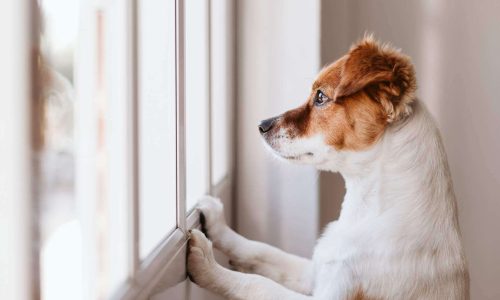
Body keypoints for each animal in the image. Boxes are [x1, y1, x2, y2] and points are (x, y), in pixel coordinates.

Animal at [187, 37, 468, 300]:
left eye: (321, 97)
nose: (261, 125)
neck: (368, 212)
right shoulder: (315, 272)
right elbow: (262, 250)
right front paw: (218, 224)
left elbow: (257, 284)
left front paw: (207, 265)